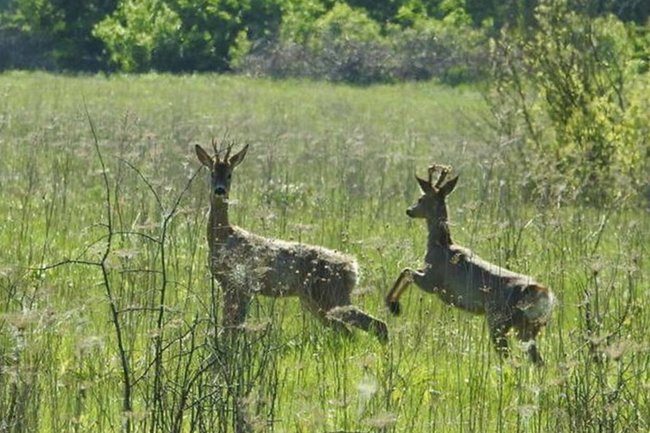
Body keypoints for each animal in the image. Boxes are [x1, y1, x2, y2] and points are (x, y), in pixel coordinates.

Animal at [195, 140, 388, 342]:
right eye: (212, 173)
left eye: (230, 174)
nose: (220, 190)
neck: (223, 237)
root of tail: (352, 267)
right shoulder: (232, 286)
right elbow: (231, 325)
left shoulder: (238, 283)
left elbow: (231, 326)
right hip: (316, 300)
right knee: (348, 331)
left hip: (330, 294)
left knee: (376, 325)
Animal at [382, 164, 556, 362]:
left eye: (421, 198)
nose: (409, 210)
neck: (441, 244)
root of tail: (545, 294)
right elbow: (408, 270)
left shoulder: (432, 282)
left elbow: (406, 271)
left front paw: (393, 305)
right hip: (527, 327)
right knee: (537, 359)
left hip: (499, 319)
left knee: (507, 355)